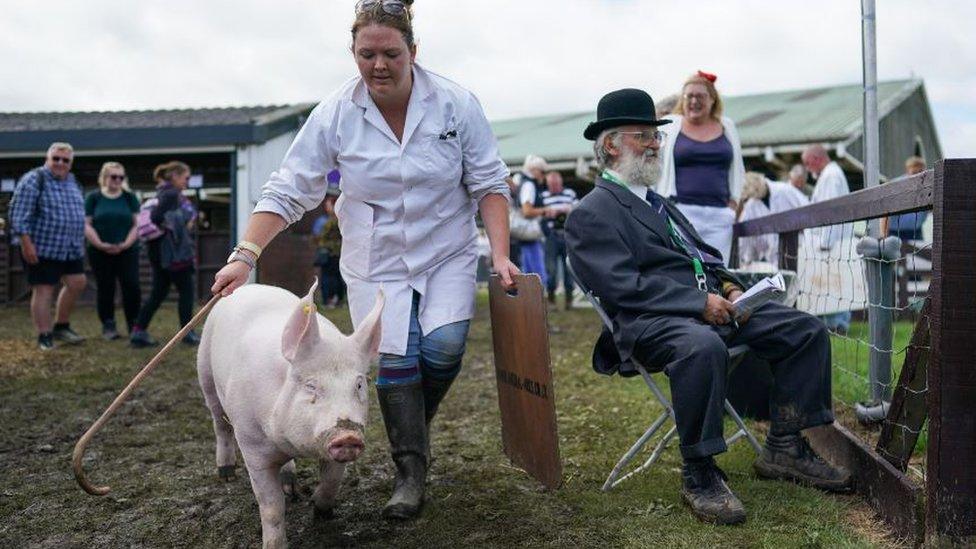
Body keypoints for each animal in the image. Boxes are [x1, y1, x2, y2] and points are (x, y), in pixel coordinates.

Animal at [196, 280, 384, 544]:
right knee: (220, 424)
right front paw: (274, 544)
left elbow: (332, 480)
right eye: (311, 386)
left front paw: (321, 512)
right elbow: (272, 506)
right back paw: (226, 475)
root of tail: (250, 285)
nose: (347, 435)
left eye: (358, 385)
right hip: (205, 373)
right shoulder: (251, 445)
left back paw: (291, 488)